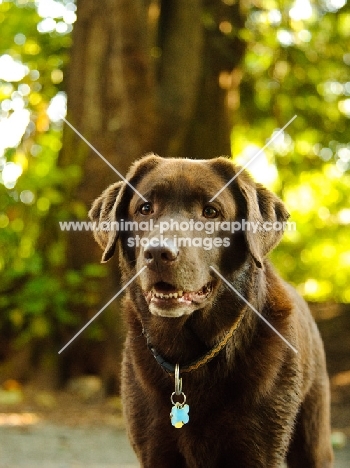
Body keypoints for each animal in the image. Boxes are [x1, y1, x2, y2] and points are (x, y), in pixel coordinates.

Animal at [88, 155, 334, 466]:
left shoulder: (260, 449)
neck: (188, 357)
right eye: (145, 208)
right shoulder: (154, 449)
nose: (158, 253)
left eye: (210, 211)